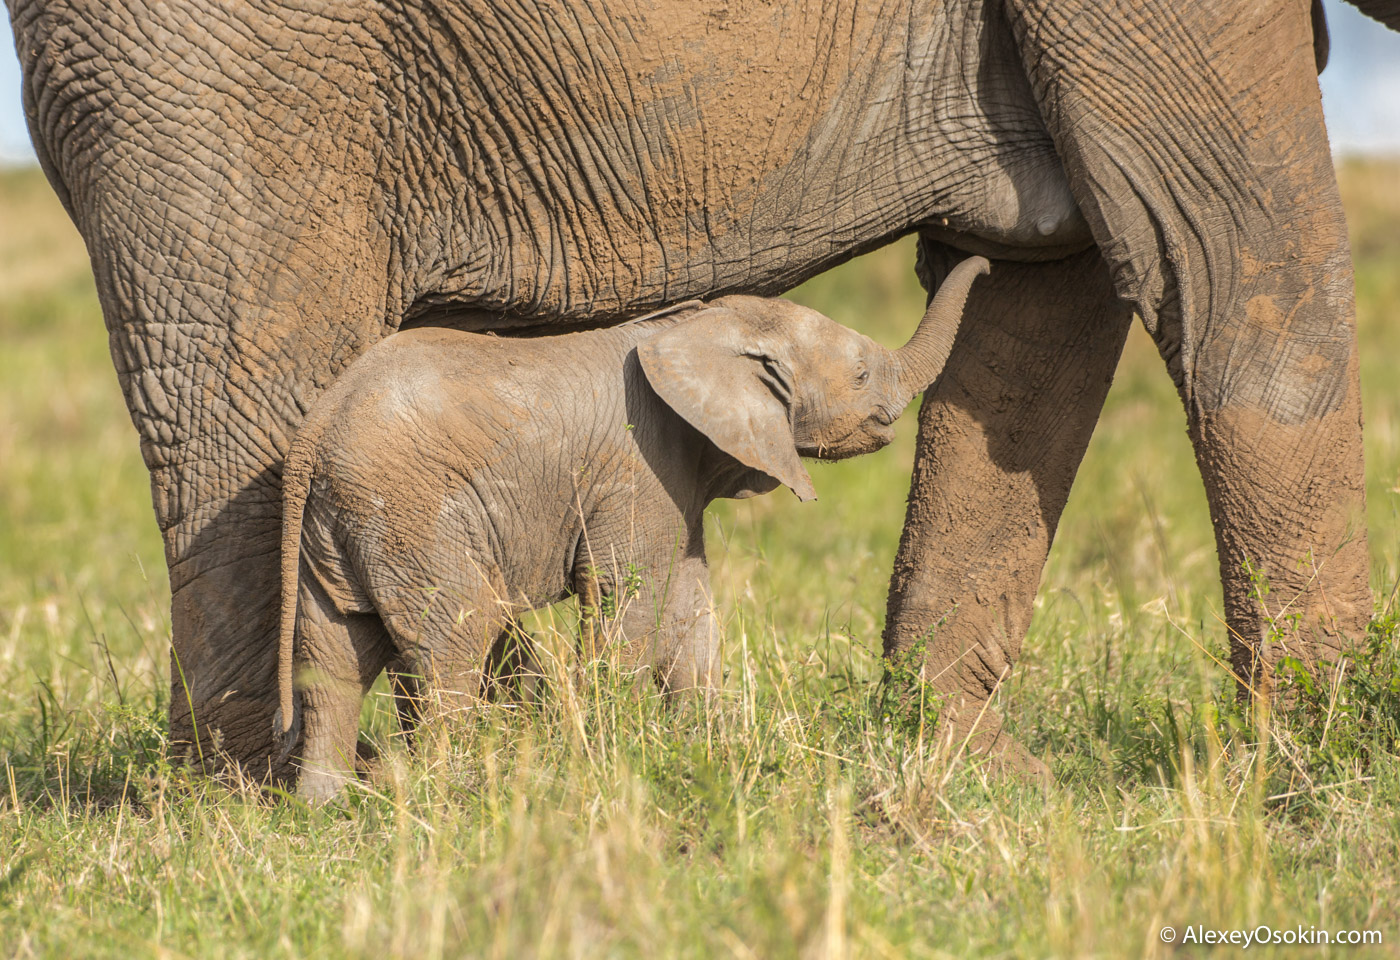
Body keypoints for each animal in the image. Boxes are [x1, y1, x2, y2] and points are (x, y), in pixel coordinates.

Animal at [278, 253, 991, 794]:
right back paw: (450, 791)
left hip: (342, 524)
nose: (977, 261)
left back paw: (321, 809)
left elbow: (688, 608)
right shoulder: (640, 462)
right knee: (454, 639)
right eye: (863, 374)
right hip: (411, 514)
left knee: (331, 657)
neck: (704, 326)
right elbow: (628, 598)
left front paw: (708, 752)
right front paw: (606, 754)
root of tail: (313, 434)